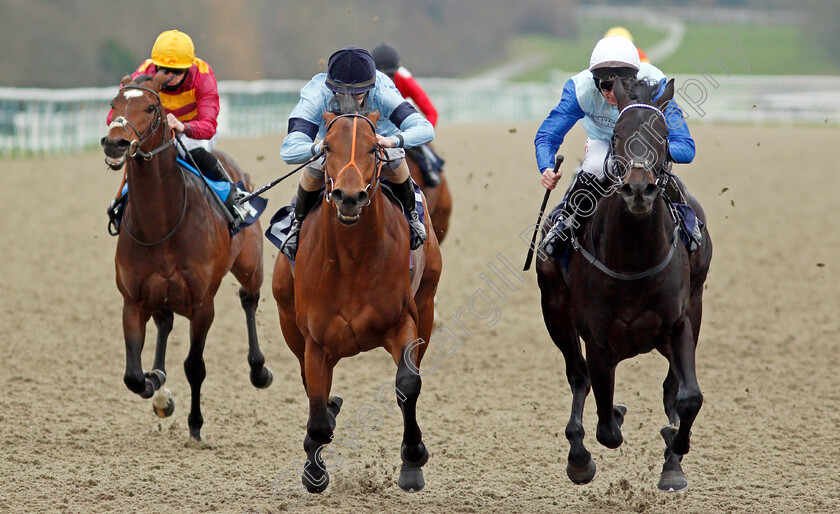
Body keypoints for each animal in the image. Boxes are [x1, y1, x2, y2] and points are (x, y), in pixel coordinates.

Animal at [99, 71, 272, 440]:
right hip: (160, 295)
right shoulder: (133, 300)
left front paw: (195, 425)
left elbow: (195, 366)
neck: (161, 224)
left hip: (250, 265)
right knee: (164, 322)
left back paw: (259, 369)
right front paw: (157, 385)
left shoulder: (202, 303)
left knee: (249, 299)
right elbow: (133, 376)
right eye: (113, 105)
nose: (114, 143)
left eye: (151, 107)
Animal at [272, 102, 442, 490]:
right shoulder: (315, 341)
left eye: (372, 149)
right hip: (288, 322)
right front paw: (314, 471)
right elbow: (317, 404)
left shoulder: (402, 322)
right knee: (309, 383)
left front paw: (413, 460)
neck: (351, 262)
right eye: (328, 147)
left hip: (427, 305)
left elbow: (408, 384)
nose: (349, 197)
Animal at [536, 78, 712, 490]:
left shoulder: (680, 321)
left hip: (695, 305)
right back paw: (579, 456)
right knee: (579, 376)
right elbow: (606, 425)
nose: (638, 189)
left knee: (670, 388)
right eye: (616, 134)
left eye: (663, 135)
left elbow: (689, 397)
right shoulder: (598, 337)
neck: (634, 260)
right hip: (554, 309)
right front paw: (606, 425)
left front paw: (674, 448)